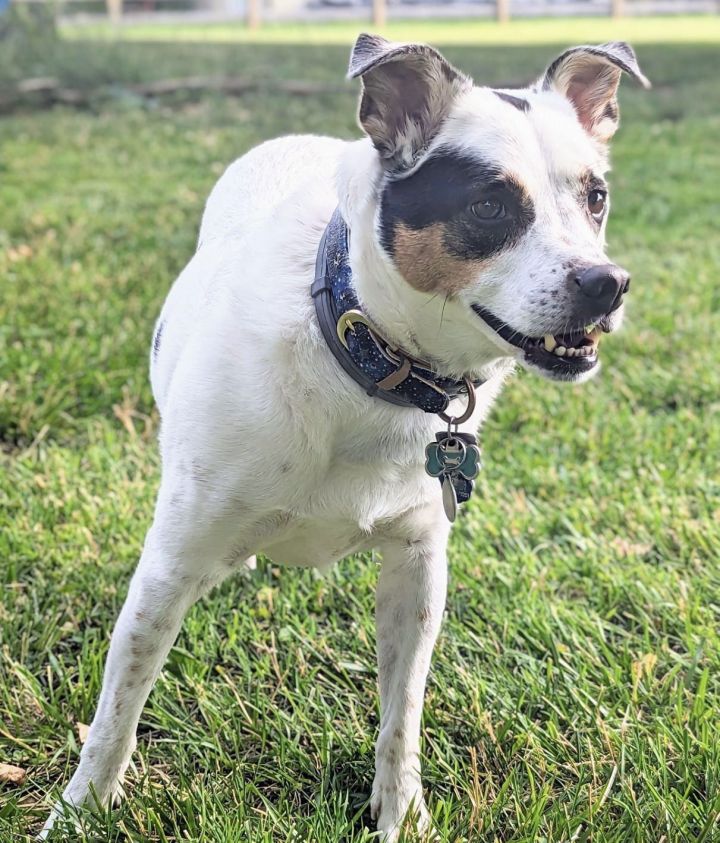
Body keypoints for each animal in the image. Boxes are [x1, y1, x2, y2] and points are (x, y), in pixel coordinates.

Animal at [45, 34, 648, 843]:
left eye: (596, 197)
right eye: (489, 205)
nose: (607, 282)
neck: (364, 360)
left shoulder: (417, 569)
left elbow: (401, 716)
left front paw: (400, 811)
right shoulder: (166, 570)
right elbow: (118, 706)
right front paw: (79, 811)